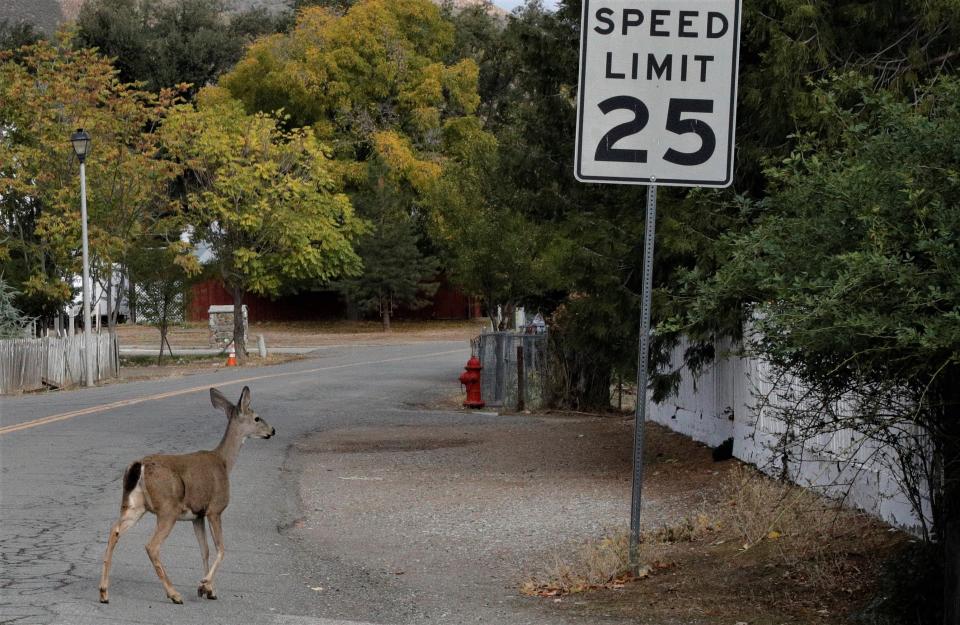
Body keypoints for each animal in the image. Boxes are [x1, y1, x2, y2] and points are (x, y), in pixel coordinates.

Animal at [98, 386, 274, 604]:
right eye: (257, 418)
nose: (272, 430)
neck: (224, 462)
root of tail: (140, 465)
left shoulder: (197, 516)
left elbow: (204, 550)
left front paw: (208, 590)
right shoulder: (215, 509)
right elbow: (221, 548)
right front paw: (204, 585)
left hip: (135, 505)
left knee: (114, 531)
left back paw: (104, 592)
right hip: (168, 509)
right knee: (151, 546)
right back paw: (174, 594)